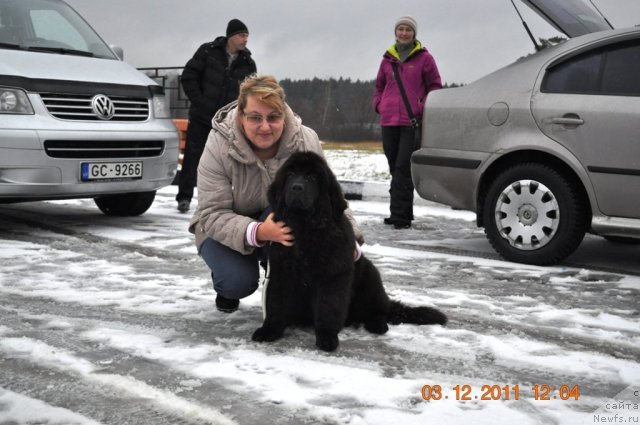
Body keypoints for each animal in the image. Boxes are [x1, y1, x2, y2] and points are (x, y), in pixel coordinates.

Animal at [252, 151, 448, 350]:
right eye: (291, 174)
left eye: (312, 177)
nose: (297, 188)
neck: (305, 227)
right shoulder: (281, 273)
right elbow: (277, 304)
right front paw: (269, 330)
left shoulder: (333, 276)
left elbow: (328, 307)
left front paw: (327, 337)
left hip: (371, 278)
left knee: (379, 311)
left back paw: (377, 325)